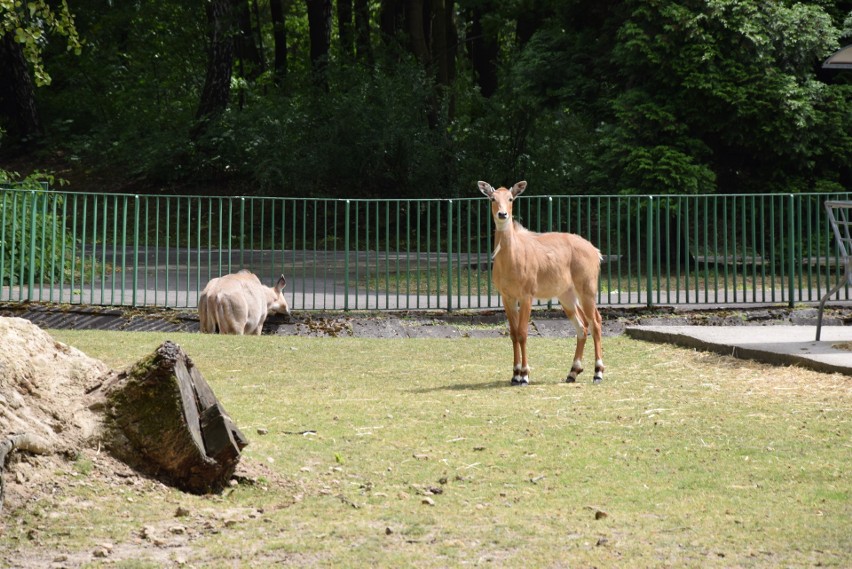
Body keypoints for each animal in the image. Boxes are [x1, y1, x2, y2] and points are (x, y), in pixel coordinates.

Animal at [480, 181, 604, 386]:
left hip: (587, 290)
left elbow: (523, 333)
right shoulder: (507, 297)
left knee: (596, 322)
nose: (502, 214)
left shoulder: (527, 295)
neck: (510, 259)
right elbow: (513, 333)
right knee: (582, 326)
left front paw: (524, 375)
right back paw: (573, 372)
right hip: (566, 296)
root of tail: (595, 251)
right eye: (492, 198)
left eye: (511, 199)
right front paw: (514, 374)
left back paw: (598, 373)